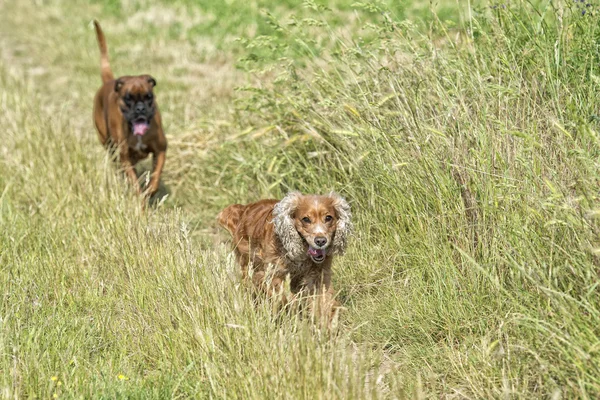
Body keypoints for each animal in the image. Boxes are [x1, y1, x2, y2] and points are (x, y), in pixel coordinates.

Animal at [91, 20, 166, 195]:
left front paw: (150, 189)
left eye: (148, 96)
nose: (140, 108)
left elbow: (156, 175)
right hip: (108, 144)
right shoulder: (125, 158)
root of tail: (109, 81)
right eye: (128, 98)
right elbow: (134, 182)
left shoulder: (161, 150)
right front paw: (139, 195)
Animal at [219, 191, 352, 322]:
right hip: (248, 265)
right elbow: (285, 296)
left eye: (328, 218)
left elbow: (324, 300)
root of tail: (244, 209)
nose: (320, 241)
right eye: (306, 219)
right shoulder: (272, 274)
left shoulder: (319, 276)